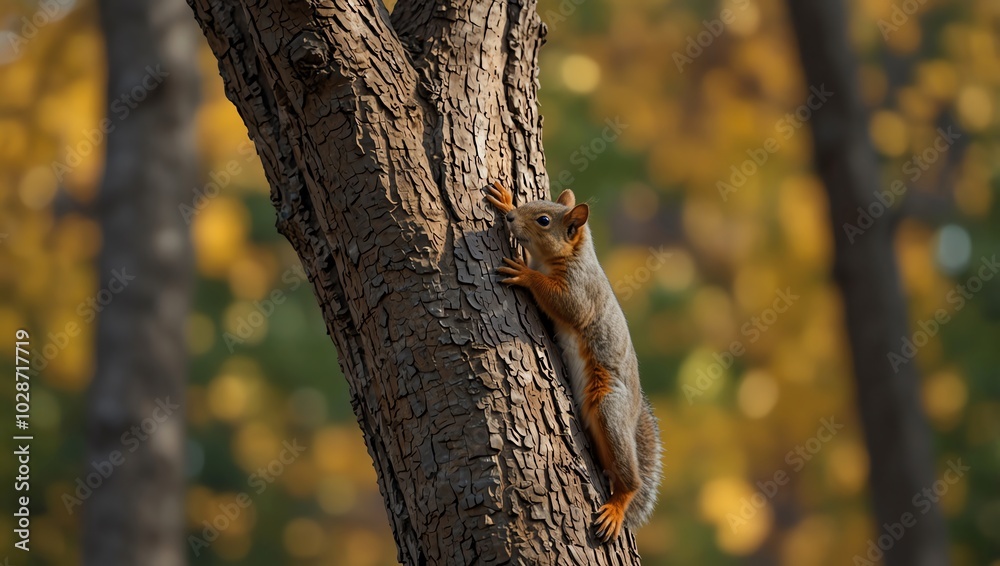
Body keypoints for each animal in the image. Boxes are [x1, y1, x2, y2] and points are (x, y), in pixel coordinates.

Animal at [486, 181, 663, 542]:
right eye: (534, 203)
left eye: (543, 221)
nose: (510, 218)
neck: (571, 256)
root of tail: (634, 410)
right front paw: (506, 199)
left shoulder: (580, 290)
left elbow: (565, 304)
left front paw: (524, 273)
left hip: (610, 408)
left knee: (631, 480)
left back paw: (618, 504)